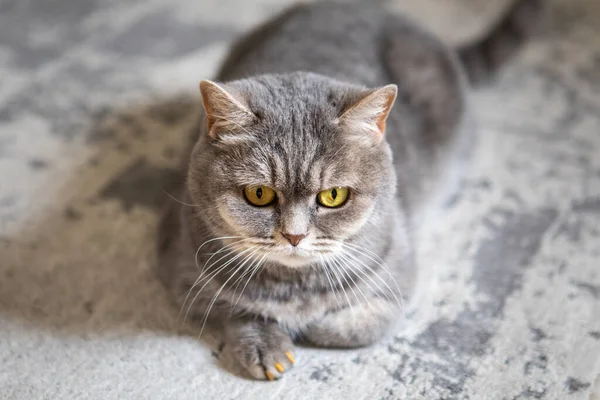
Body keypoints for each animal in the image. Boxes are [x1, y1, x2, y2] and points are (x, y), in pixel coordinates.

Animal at [157, 0, 540, 382]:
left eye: (333, 196)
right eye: (259, 194)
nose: (294, 236)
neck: (295, 286)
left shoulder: (398, 276)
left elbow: (359, 326)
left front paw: (314, 326)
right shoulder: (183, 270)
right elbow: (237, 311)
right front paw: (266, 345)